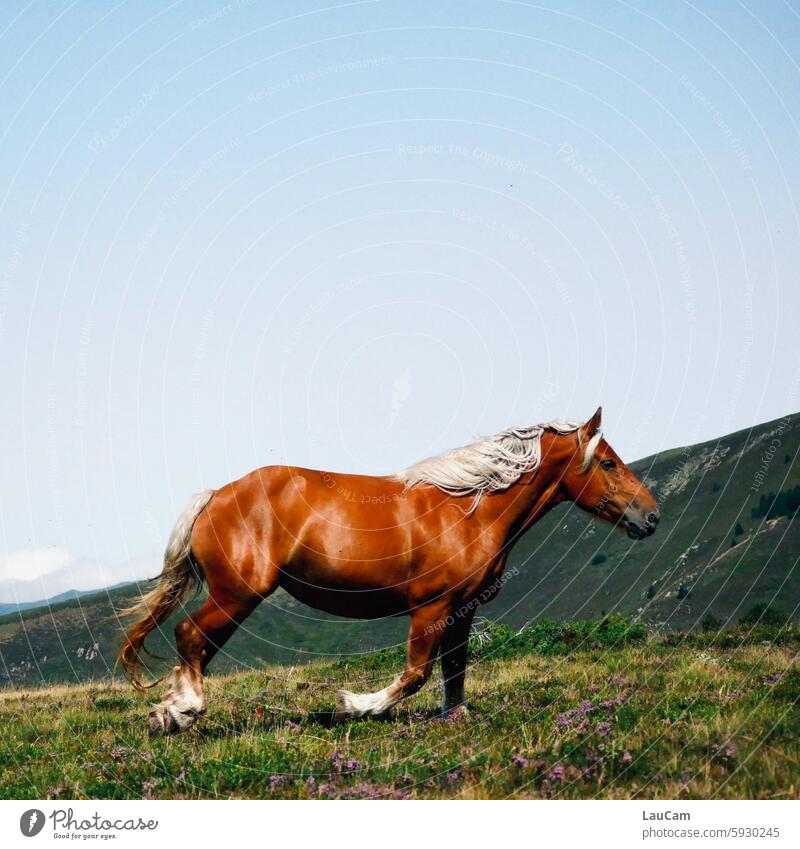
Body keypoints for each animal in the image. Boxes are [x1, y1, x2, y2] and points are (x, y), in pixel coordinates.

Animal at [119, 406, 656, 736]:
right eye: (608, 462)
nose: (650, 517)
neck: (469, 509)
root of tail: (215, 495)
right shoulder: (431, 606)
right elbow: (416, 673)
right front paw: (356, 705)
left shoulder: (462, 609)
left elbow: (455, 669)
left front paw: (455, 717)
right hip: (238, 593)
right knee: (190, 636)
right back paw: (181, 713)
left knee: (198, 644)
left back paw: (172, 711)